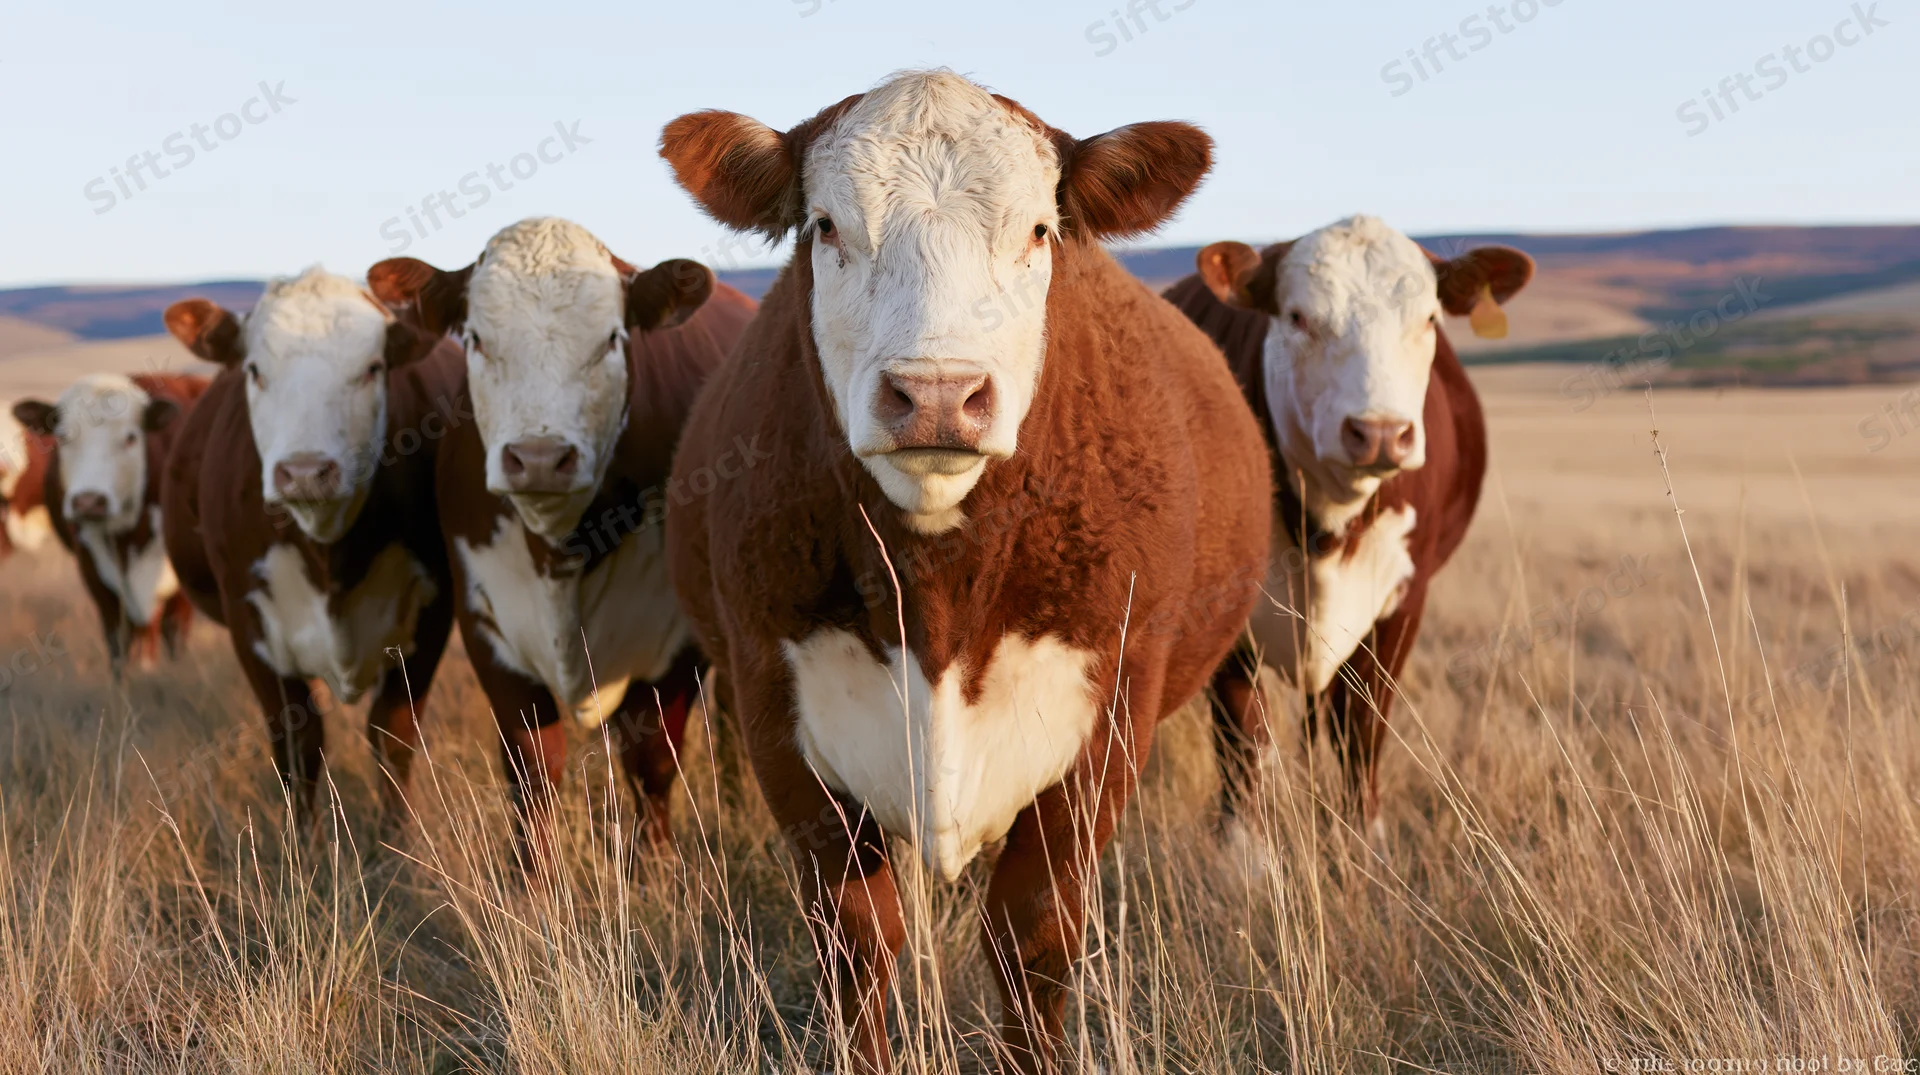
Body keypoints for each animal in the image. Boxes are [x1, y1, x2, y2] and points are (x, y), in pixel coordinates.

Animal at [11, 374, 206, 669]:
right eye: (63, 437)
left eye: (131, 438)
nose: (89, 501)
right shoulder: (94, 572)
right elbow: (118, 642)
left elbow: (174, 633)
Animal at [160, 267, 464, 825]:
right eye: (255, 370)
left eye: (372, 368)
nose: (304, 471)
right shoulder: (249, 620)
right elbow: (298, 745)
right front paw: (304, 842)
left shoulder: (434, 608)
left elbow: (393, 735)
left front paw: (397, 838)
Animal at [366, 217, 756, 868]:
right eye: (475, 338)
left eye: (612, 339)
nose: (540, 457)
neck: (559, 550)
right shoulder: (486, 624)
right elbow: (531, 766)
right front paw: (534, 877)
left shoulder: (673, 640)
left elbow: (651, 759)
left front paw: (654, 873)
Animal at [658, 70, 1272, 1072]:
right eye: (825, 226)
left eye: (1039, 231)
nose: (937, 395)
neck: (938, 591)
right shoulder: (777, 710)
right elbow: (857, 936)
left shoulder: (1107, 713)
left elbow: (1033, 936)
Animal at [1162, 214, 1532, 840]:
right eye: (1297, 317)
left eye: (1428, 319)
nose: (1379, 432)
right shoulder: (1218, 600)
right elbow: (1242, 735)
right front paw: (1243, 849)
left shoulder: (1402, 600)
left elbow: (1361, 726)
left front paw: (1364, 835)